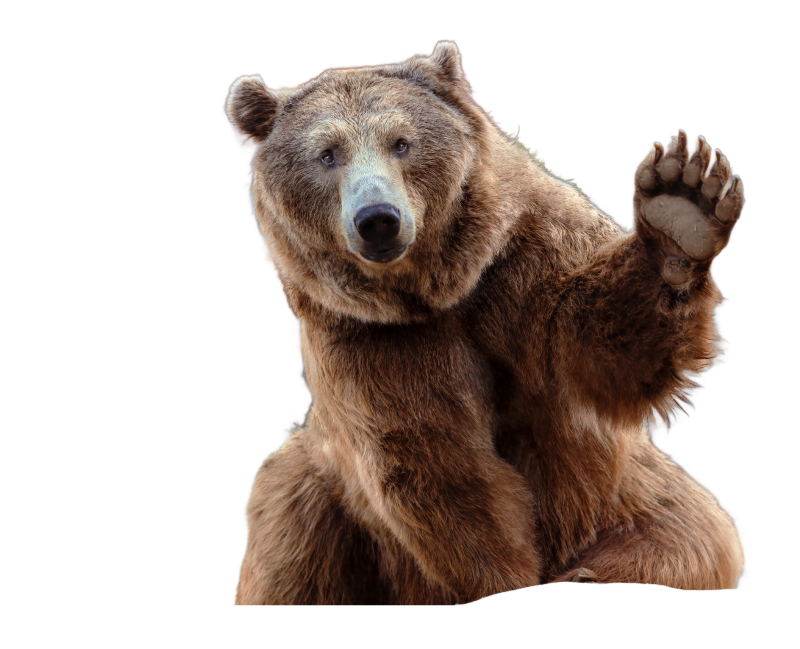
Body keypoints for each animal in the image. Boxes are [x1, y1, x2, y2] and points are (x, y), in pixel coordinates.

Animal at [221, 39, 746, 605]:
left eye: (401, 142)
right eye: (327, 154)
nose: (378, 219)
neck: (434, 291)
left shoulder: (520, 256)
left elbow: (601, 345)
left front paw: (681, 207)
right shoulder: (370, 339)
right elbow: (440, 463)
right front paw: (503, 580)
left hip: (634, 497)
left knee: (682, 538)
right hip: (319, 504)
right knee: (289, 524)